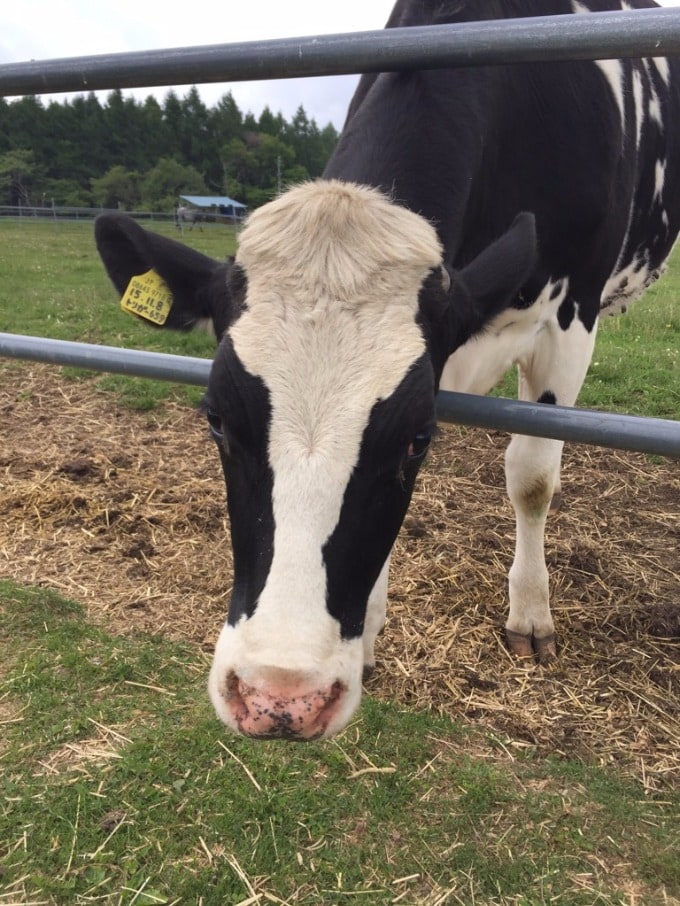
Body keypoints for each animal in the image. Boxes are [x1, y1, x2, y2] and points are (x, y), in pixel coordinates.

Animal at [94, 0, 680, 740]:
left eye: (415, 439)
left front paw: (530, 613)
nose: (280, 697)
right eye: (217, 420)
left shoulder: (570, 317)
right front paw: (367, 631)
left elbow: (532, 478)